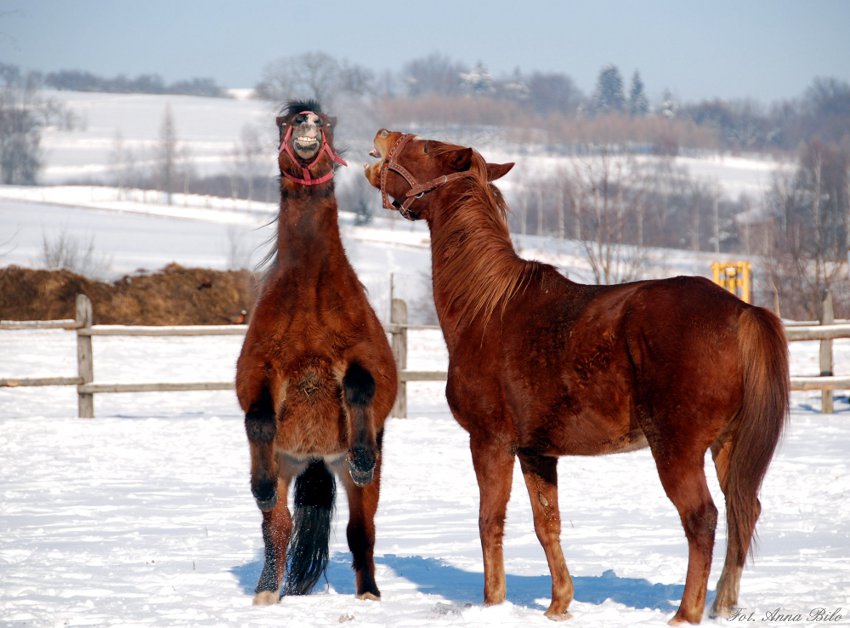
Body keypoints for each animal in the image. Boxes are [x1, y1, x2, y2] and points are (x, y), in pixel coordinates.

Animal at [234, 102, 396, 604]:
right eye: (285, 122)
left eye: (323, 122)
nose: (306, 124)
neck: (308, 292)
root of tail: (314, 455)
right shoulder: (258, 369)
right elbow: (257, 418)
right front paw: (260, 485)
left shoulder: (368, 355)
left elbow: (361, 384)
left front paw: (362, 455)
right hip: (289, 462)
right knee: (278, 528)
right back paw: (267, 591)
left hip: (347, 471)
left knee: (361, 530)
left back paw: (369, 593)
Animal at [364, 130, 788, 624]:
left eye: (427, 148)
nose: (384, 137)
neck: (487, 308)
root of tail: (742, 311)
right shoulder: (535, 452)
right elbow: (546, 523)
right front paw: (559, 603)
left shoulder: (489, 441)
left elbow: (490, 521)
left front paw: (493, 602)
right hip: (727, 447)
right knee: (744, 510)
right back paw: (723, 602)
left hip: (677, 451)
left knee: (702, 519)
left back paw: (687, 612)